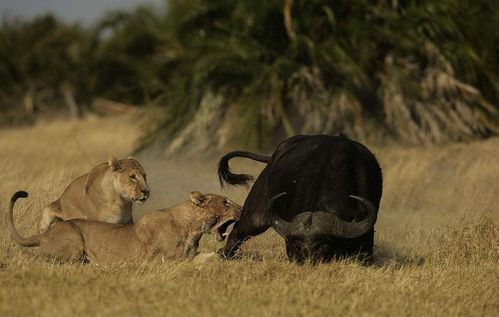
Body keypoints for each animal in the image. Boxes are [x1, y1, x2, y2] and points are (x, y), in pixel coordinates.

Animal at [7, 190, 242, 262]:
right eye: (225, 202)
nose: (242, 209)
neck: (192, 230)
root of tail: (44, 234)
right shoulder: (157, 262)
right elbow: (188, 264)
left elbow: (207, 257)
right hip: (73, 237)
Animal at [218, 134, 382, 262]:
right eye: (297, 245)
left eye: (323, 246)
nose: (305, 259)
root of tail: (273, 156)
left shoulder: (366, 236)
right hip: (256, 214)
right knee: (238, 231)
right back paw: (225, 255)